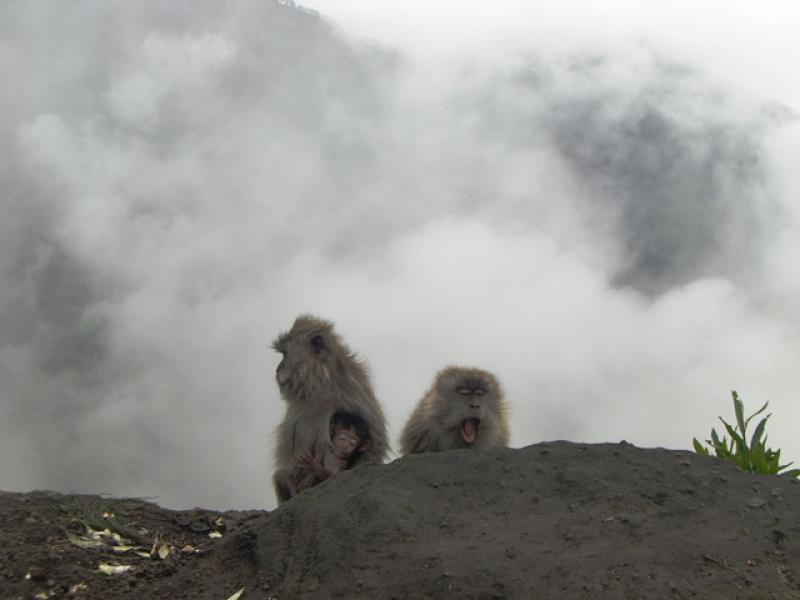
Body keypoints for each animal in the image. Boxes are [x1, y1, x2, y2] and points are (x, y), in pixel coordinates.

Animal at [272, 316, 390, 504]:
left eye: (284, 354)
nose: (277, 370)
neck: (322, 384)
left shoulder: (354, 394)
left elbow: (374, 444)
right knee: (281, 475)